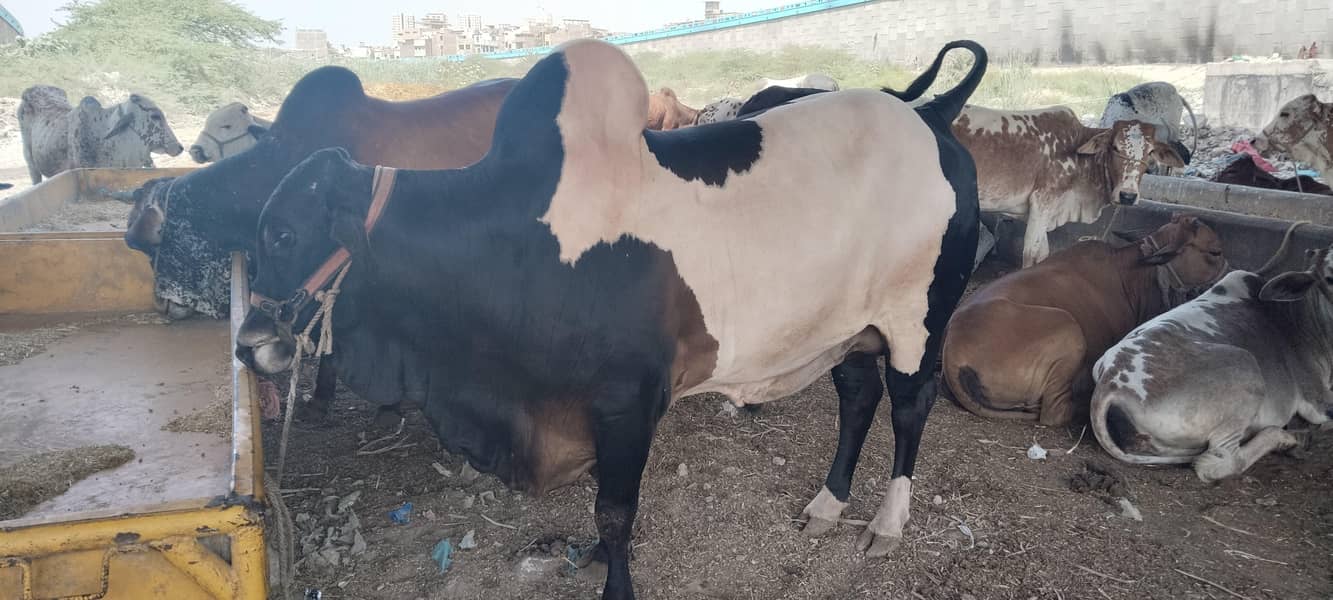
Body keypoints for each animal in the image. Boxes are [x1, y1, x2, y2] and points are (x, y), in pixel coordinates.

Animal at [234, 39, 988, 600]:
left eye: (283, 234)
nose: (249, 344)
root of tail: (930, 112)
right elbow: (605, 505)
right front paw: (595, 555)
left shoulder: (627, 402)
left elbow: (617, 509)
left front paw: (615, 578)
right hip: (847, 332)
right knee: (857, 399)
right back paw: (827, 507)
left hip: (917, 322)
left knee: (908, 409)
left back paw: (886, 523)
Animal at [954, 106, 1186, 267]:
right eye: (1114, 147)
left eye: (1150, 152)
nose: (1127, 196)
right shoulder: (1042, 201)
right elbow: (1031, 255)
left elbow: (1044, 254)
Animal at [1090, 246, 1333, 481]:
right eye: (1329, 278)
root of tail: (1109, 384)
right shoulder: (1316, 400)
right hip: (1245, 367)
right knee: (1219, 462)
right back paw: (1287, 439)